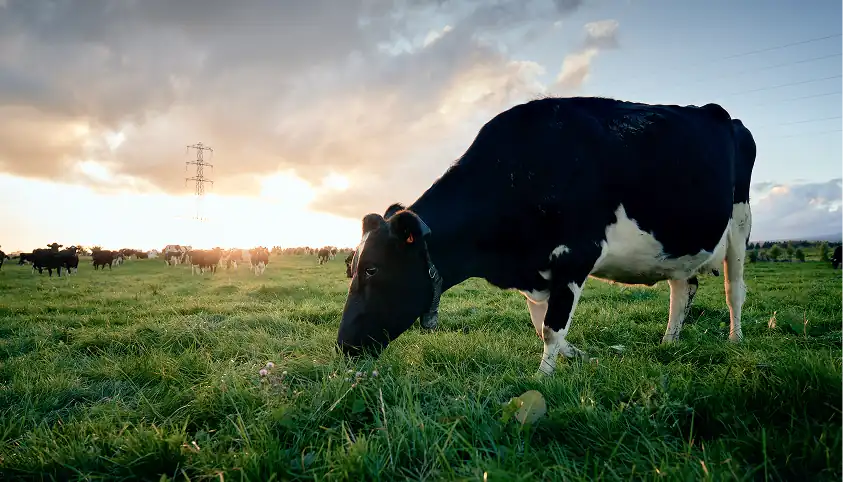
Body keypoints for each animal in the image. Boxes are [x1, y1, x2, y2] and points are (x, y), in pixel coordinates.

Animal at [336, 96, 756, 377]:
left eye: (372, 269)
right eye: (350, 268)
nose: (343, 345)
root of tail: (718, 112)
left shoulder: (574, 255)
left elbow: (552, 328)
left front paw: (543, 378)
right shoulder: (536, 272)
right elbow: (543, 326)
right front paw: (581, 356)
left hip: (740, 221)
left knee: (734, 289)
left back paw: (736, 340)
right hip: (679, 246)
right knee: (683, 287)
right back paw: (669, 342)